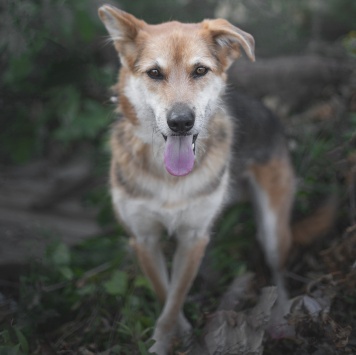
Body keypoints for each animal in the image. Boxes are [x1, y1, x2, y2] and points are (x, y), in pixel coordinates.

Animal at [98, 4, 318, 354]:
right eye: (154, 73)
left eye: (200, 70)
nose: (180, 122)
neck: (169, 176)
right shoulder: (144, 239)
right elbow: (167, 294)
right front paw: (173, 338)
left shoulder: (194, 236)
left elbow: (175, 295)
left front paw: (171, 337)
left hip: (273, 228)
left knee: (278, 272)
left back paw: (281, 316)